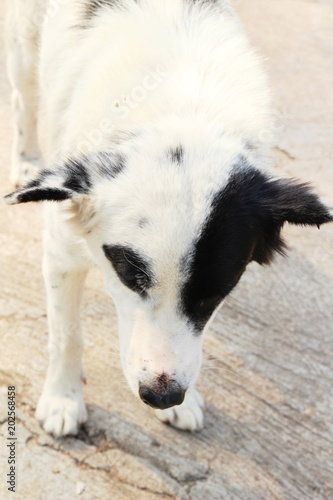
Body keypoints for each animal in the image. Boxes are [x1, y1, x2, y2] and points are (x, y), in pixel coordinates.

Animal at [3, 0, 330, 438]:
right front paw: (63, 398)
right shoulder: (62, 252)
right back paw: (25, 159)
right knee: (23, 98)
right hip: (24, 50)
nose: (163, 396)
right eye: (129, 275)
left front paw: (184, 403)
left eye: (214, 294)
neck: (183, 112)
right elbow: (66, 335)